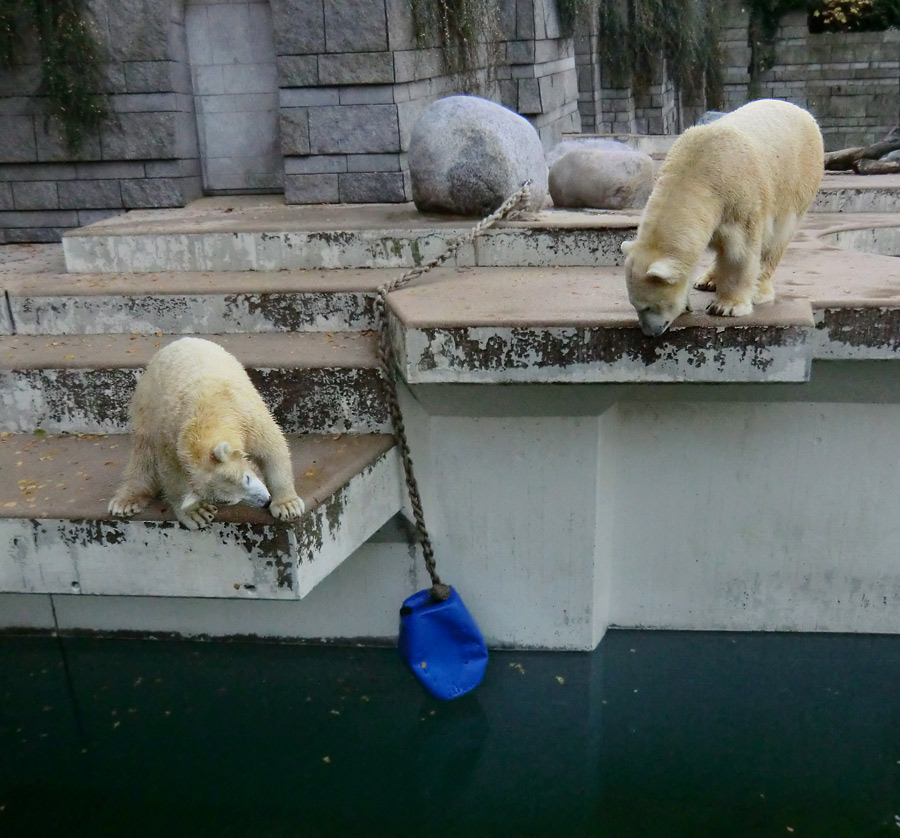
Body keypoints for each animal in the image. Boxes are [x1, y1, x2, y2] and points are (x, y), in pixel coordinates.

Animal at [108, 336, 306, 528]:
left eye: (247, 478)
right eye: (228, 501)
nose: (265, 501)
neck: (207, 416)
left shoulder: (248, 418)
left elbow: (272, 449)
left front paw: (287, 505)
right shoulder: (170, 439)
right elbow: (171, 476)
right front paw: (197, 513)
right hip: (148, 402)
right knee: (143, 452)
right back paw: (125, 502)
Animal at [620, 103, 824, 340]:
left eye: (649, 306)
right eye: (634, 305)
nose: (650, 333)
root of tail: (802, 111)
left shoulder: (740, 201)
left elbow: (739, 253)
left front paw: (726, 307)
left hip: (796, 182)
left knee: (777, 239)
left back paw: (759, 290)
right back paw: (707, 280)